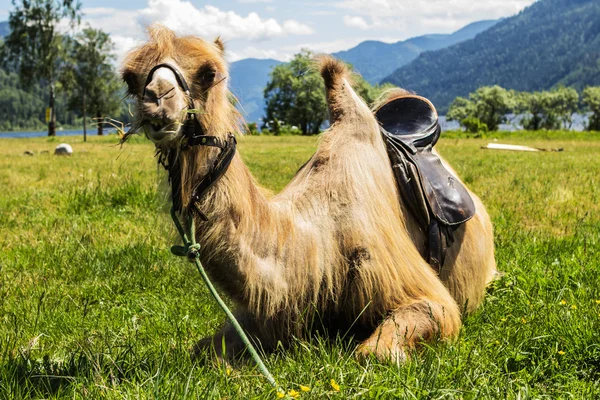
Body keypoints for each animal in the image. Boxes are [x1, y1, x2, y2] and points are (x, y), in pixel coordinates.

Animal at [119, 24, 494, 362]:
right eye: (130, 78)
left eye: (210, 72)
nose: (158, 100)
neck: (318, 247)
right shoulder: (269, 315)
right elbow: (205, 351)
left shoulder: (420, 290)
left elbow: (380, 351)